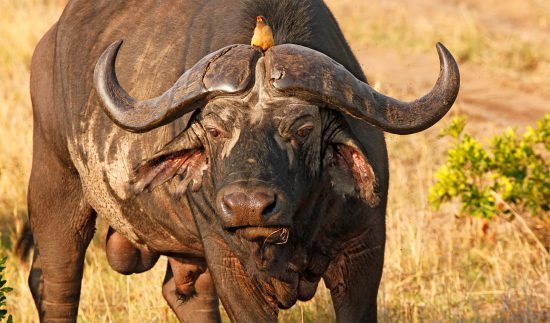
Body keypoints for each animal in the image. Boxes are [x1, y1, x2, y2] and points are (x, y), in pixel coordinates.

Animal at [23, 0, 460, 322]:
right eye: (215, 131)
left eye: (303, 129)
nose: (247, 206)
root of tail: (47, 45)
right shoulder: (229, 262)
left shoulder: (363, 251)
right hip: (55, 189)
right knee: (56, 283)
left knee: (187, 295)